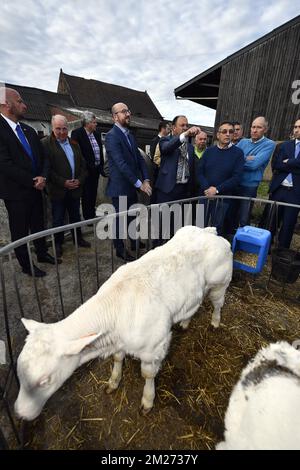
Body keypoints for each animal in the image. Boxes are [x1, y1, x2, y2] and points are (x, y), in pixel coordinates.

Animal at [14, 226, 232, 420]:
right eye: (19, 376)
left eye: (44, 381)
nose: (19, 413)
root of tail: (210, 232)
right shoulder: (118, 341)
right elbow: (118, 359)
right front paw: (113, 381)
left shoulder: (154, 348)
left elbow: (148, 375)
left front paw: (147, 400)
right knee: (195, 304)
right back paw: (185, 322)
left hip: (220, 283)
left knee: (218, 303)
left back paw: (215, 322)